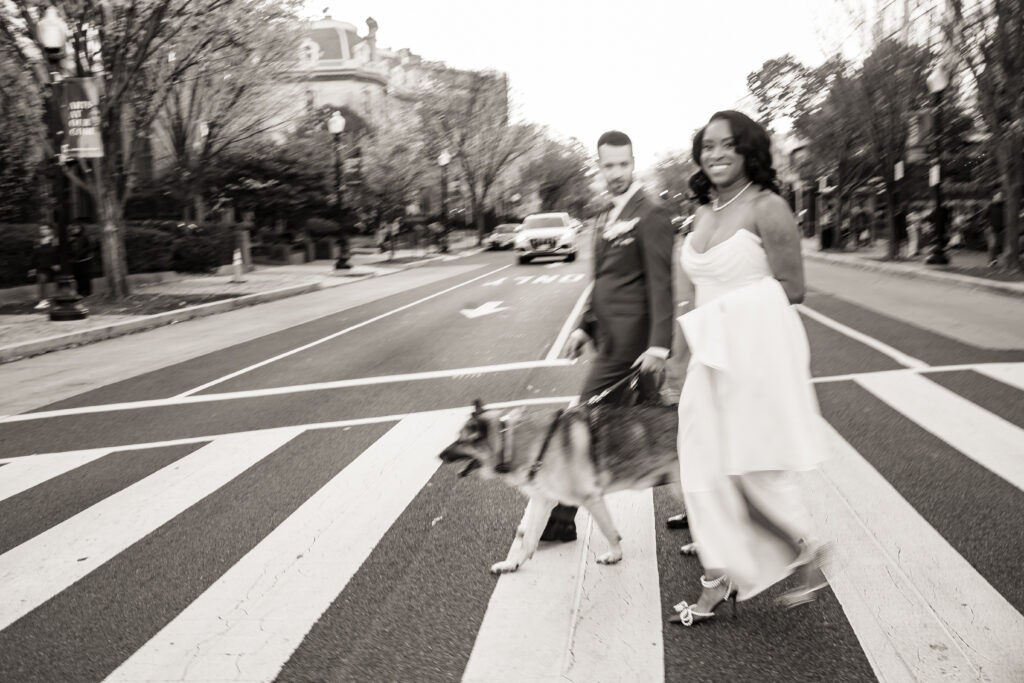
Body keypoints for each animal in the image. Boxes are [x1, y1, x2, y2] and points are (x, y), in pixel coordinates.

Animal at [440, 397, 679, 573]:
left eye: (460, 440)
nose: (439, 455)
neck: (508, 441)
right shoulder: (543, 501)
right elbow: (529, 540)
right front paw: (512, 564)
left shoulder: (591, 498)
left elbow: (609, 531)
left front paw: (615, 555)